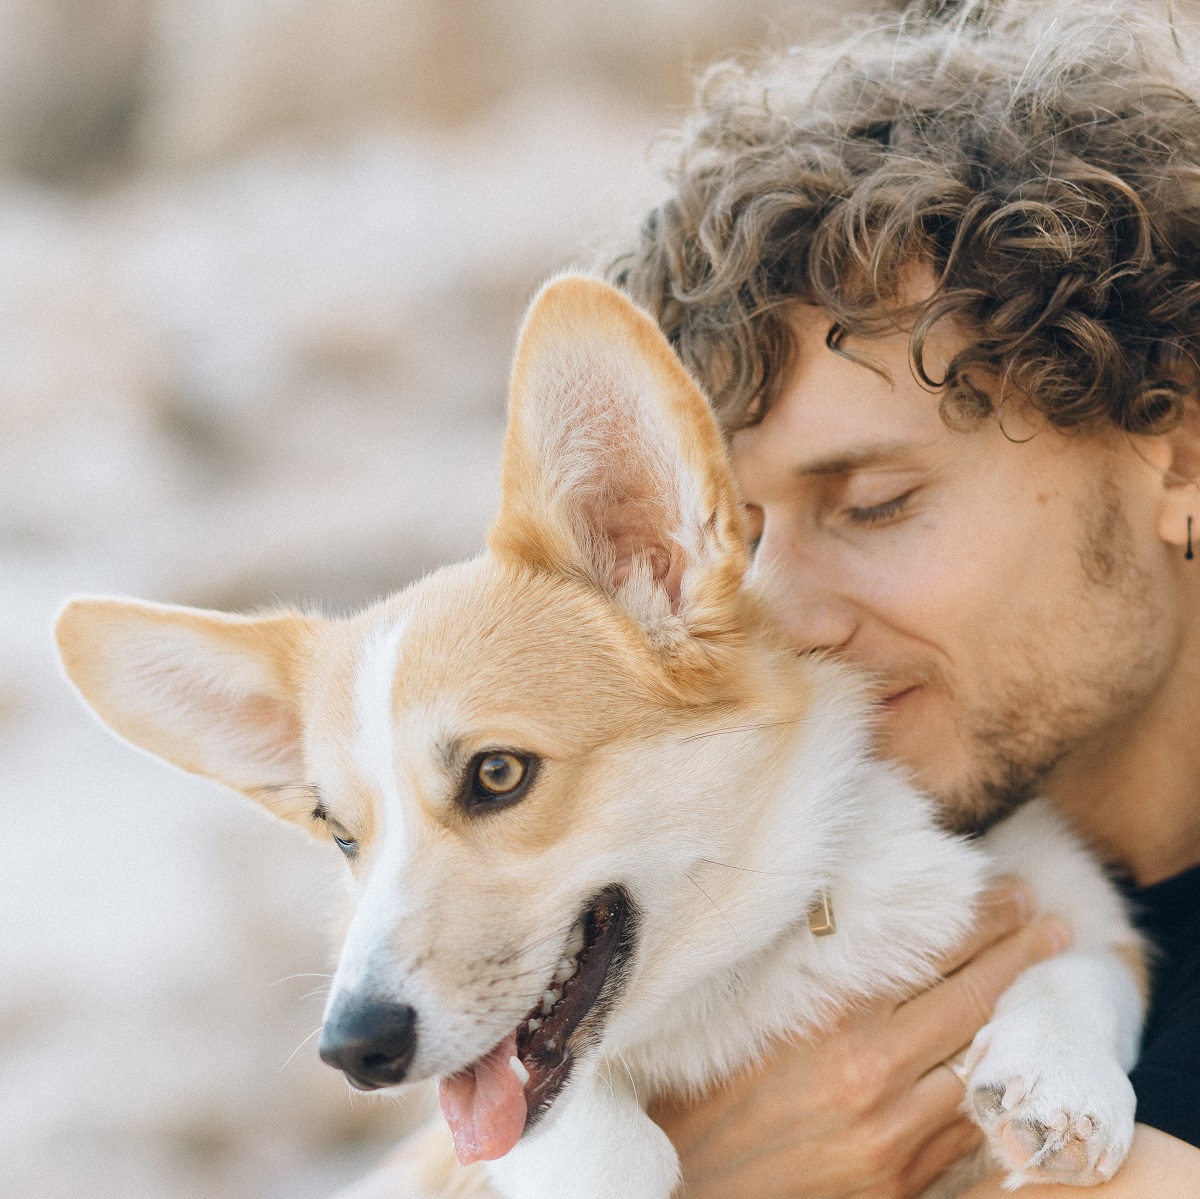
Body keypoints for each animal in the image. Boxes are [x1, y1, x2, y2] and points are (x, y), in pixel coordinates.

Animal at [54, 276, 1142, 1195]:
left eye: (498, 773)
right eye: (342, 833)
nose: (353, 1050)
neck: (754, 960)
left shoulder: (1067, 895)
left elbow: (1087, 964)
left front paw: (1053, 1074)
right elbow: (592, 1142)